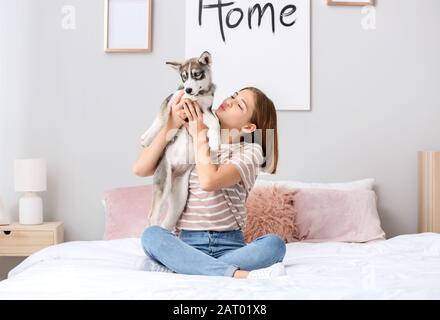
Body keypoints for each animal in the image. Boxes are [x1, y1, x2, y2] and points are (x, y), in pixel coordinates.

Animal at [139, 51, 220, 231]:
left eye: (196, 75)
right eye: (184, 77)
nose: (188, 89)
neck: (197, 96)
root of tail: (175, 173)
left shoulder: (205, 110)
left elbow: (215, 122)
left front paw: (215, 141)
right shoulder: (173, 99)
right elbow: (162, 119)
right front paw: (148, 137)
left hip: (180, 197)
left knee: (168, 219)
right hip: (164, 181)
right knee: (152, 216)